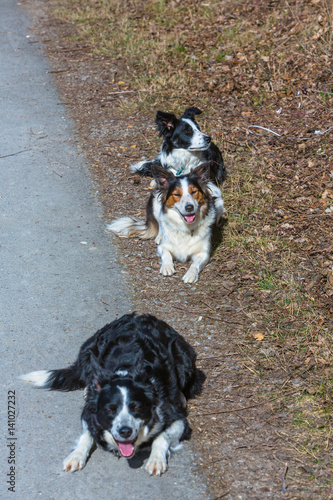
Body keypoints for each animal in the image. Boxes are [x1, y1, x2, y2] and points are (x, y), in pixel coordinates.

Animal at [21, 312, 202, 476]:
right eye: (109, 410)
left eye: (137, 408)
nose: (125, 431)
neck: (125, 372)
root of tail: (139, 316)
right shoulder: (89, 411)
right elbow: (87, 433)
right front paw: (76, 455)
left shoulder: (178, 418)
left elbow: (162, 436)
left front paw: (156, 460)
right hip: (88, 351)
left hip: (183, 358)